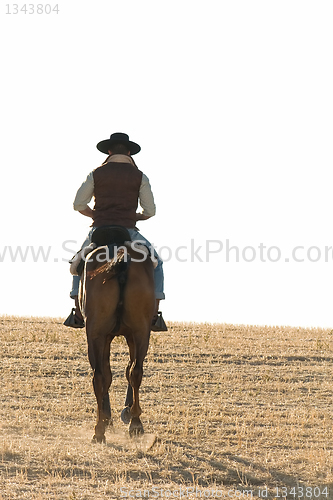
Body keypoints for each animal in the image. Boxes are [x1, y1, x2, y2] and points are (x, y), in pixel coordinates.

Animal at [78, 226, 155, 442]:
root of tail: (121, 255)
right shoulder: (126, 335)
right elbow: (125, 371)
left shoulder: (105, 337)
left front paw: (109, 417)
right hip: (139, 331)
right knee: (133, 372)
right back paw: (133, 423)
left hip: (98, 334)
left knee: (101, 375)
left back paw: (102, 428)